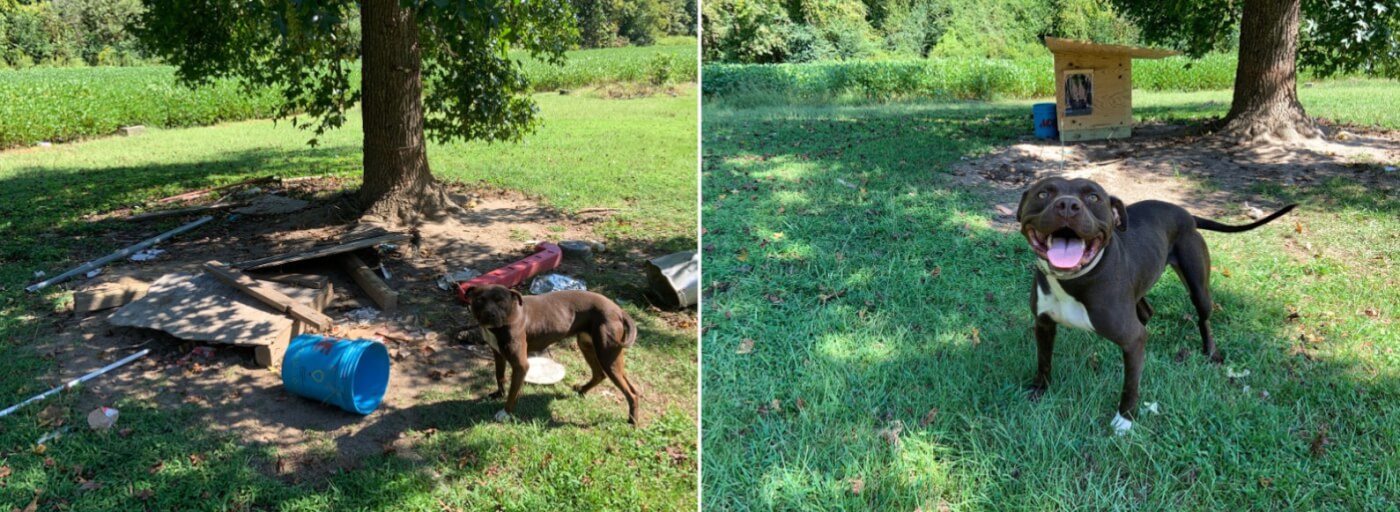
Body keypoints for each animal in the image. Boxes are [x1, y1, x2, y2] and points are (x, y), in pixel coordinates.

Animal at [464, 283, 641, 425]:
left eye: (500, 301)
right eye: (479, 300)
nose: (489, 314)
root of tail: (618, 310)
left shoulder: (520, 365)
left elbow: (513, 392)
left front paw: (505, 413)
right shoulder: (498, 354)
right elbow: (499, 376)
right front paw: (499, 394)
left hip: (607, 355)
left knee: (630, 392)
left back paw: (632, 421)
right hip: (589, 347)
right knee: (601, 375)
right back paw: (582, 390)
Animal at [1019, 176, 1288, 436]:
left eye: (1093, 197)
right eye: (1043, 193)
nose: (1067, 204)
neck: (1074, 279)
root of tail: (1187, 214)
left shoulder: (1132, 338)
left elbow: (1130, 385)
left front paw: (1124, 421)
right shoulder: (1043, 325)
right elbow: (1043, 361)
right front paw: (1039, 390)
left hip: (1198, 288)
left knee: (1203, 318)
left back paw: (1211, 353)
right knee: (1147, 312)